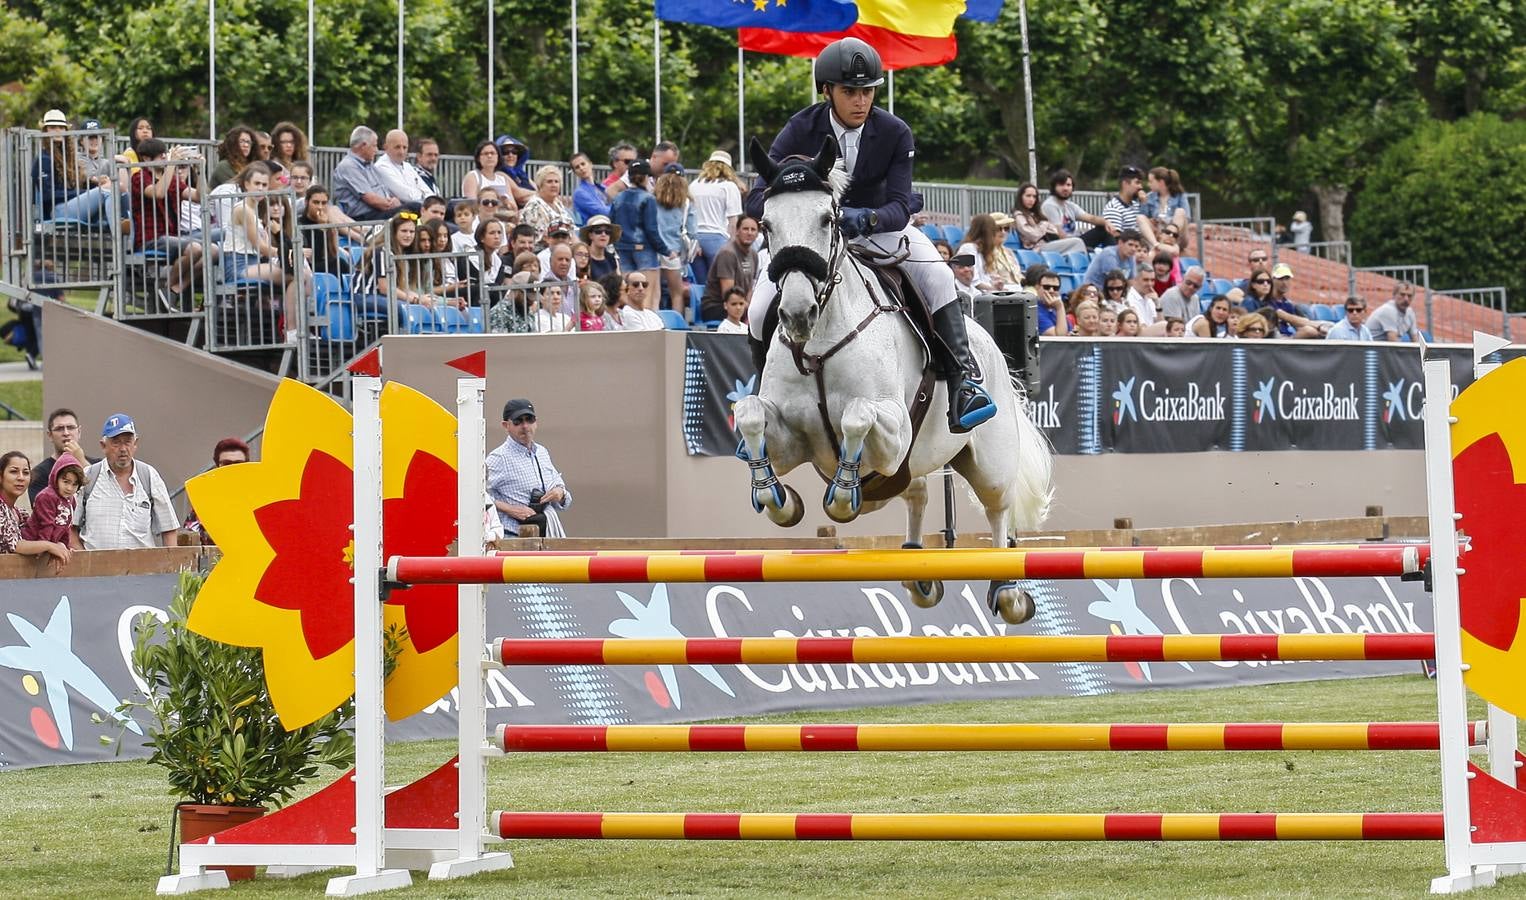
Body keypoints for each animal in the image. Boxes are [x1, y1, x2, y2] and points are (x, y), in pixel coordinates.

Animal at [735, 137, 1049, 625]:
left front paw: (842, 496)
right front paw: (778, 499)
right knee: (915, 492)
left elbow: (856, 415)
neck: (821, 341)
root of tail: (991, 344)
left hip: (988, 460)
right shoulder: (791, 441)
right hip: (911, 466)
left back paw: (1009, 590)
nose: (797, 314)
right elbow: (749, 415)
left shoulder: (894, 429)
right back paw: (918, 569)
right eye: (766, 224)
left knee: (999, 508)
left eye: (829, 219)